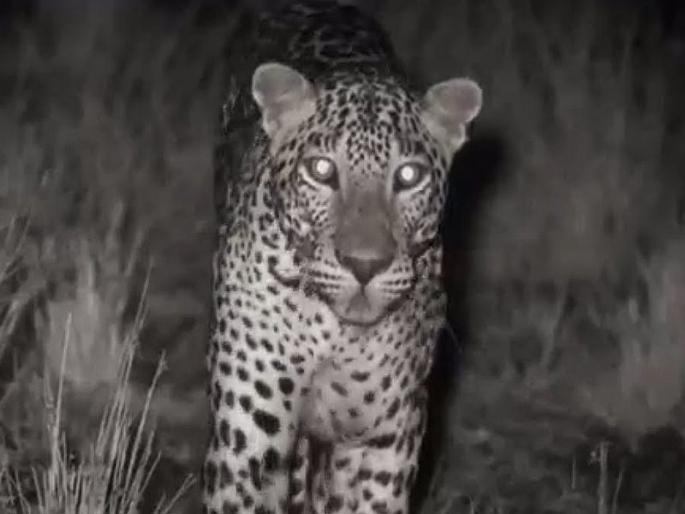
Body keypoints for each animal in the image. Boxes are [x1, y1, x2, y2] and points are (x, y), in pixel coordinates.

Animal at [203, 1, 482, 513]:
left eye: (409, 176)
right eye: (321, 170)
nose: (365, 264)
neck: (336, 331)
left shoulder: (382, 441)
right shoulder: (250, 433)